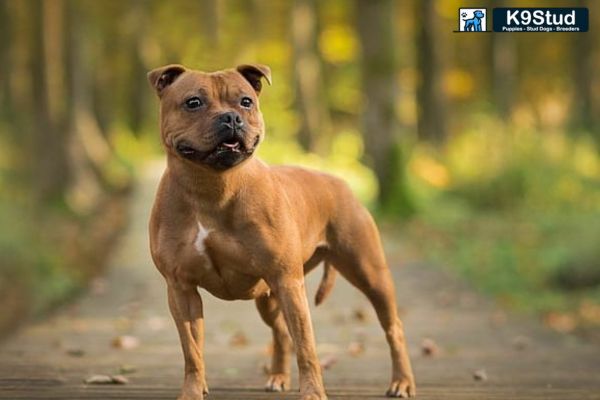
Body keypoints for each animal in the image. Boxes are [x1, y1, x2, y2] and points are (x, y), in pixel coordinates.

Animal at [148, 64, 414, 398]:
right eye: (193, 102)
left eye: (246, 102)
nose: (231, 117)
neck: (213, 187)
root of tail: (338, 182)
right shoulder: (181, 288)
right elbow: (192, 351)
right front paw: (192, 391)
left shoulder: (289, 282)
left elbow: (307, 346)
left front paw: (313, 393)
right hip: (268, 297)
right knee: (280, 332)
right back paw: (278, 376)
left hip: (369, 273)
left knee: (394, 328)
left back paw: (402, 381)